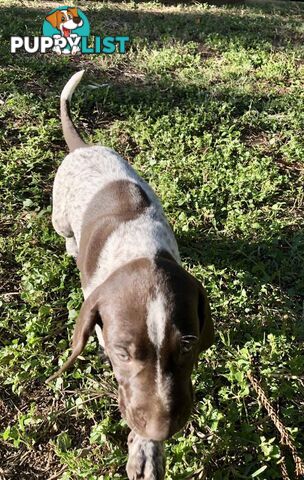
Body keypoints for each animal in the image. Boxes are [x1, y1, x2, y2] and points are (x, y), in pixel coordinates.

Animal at [48, 71, 214, 480]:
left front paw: (147, 449)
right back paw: (71, 244)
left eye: (186, 346)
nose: (161, 430)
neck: (140, 252)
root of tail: (84, 147)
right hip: (59, 215)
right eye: (121, 353)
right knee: (65, 230)